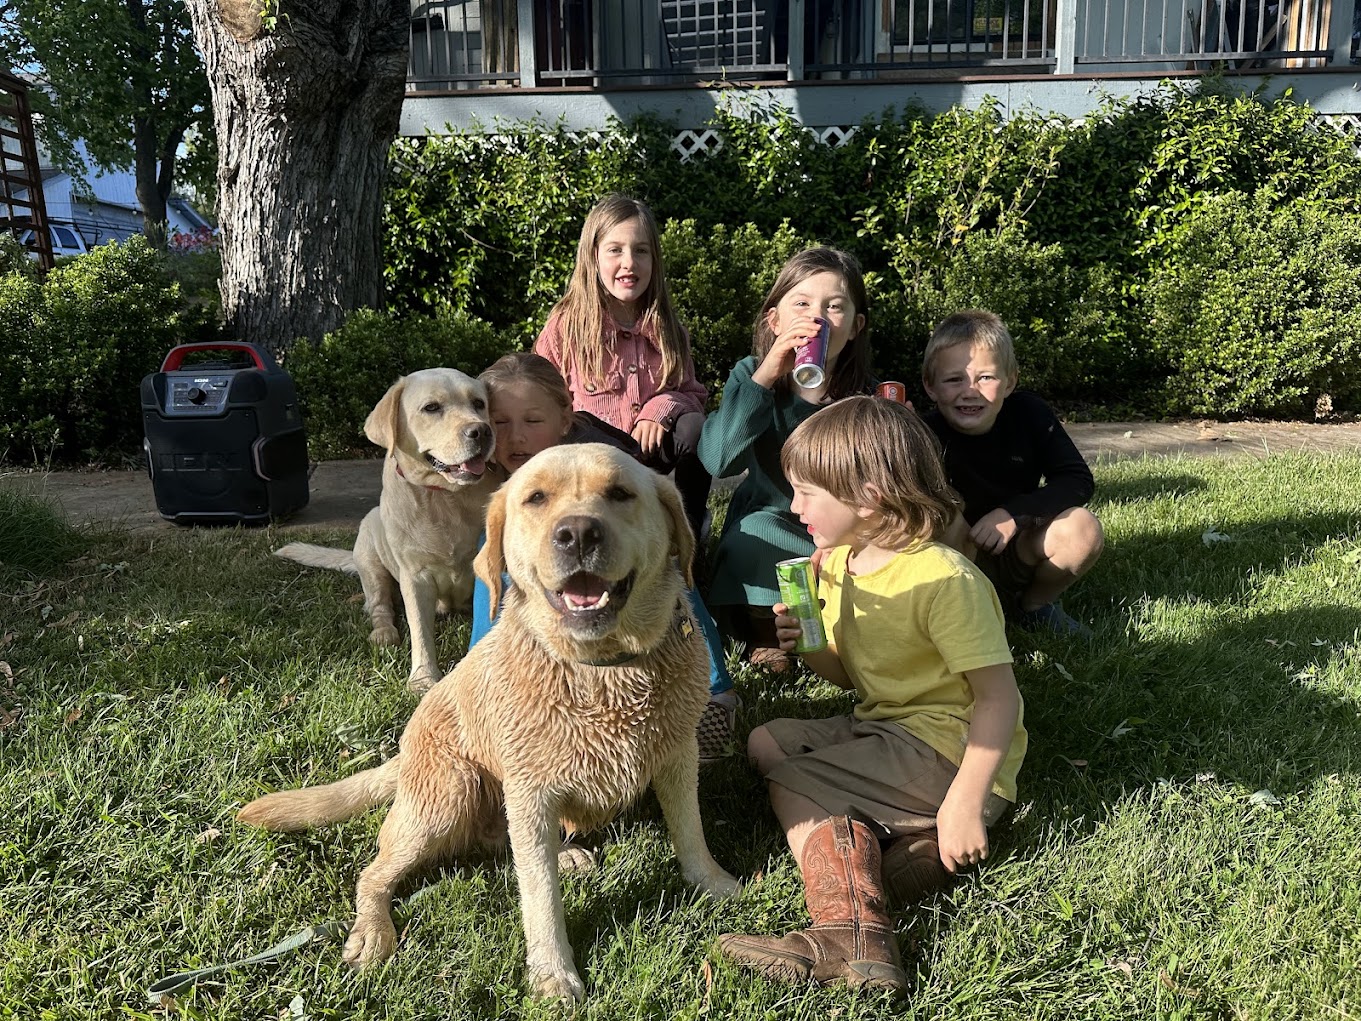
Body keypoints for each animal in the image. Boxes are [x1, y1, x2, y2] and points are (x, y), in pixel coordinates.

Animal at [239, 443, 740, 1000]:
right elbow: (540, 897)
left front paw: (713, 883)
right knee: (375, 873)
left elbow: (691, 832)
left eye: (619, 493)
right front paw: (552, 971)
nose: (578, 533)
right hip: (449, 793)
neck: (603, 671)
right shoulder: (530, 792)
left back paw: (566, 854)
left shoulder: (678, 757)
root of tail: (404, 756)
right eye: (536, 498)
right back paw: (373, 930)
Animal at [275, 368, 503, 691]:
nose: (481, 432)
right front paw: (423, 677)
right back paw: (383, 632)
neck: (445, 497)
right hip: (370, 550)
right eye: (431, 407)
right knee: (379, 605)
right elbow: (420, 630)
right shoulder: (414, 576)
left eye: (479, 403)